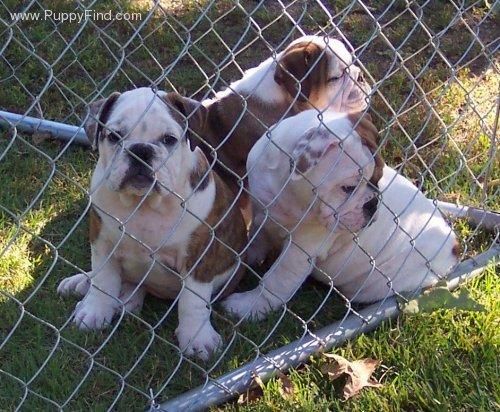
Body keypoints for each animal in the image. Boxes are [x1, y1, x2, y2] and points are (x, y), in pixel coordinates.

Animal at [57, 87, 246, 360]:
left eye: (169, 139)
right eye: (114, 136)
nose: (140, 150)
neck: (144, 203)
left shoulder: (199, 256)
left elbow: (193, 300)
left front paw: (197, 337)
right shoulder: (102, 240)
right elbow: (103, 279)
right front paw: (94, 310)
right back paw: (82, 282)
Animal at [222, 109, 458, 318]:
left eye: (378, 178)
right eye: (348, 188)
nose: (373, 203)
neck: (287, 192)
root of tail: (453, 249)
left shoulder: (301, 249)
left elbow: (277, 280)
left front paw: (248, 306)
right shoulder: (260, 210)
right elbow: (256, 239)